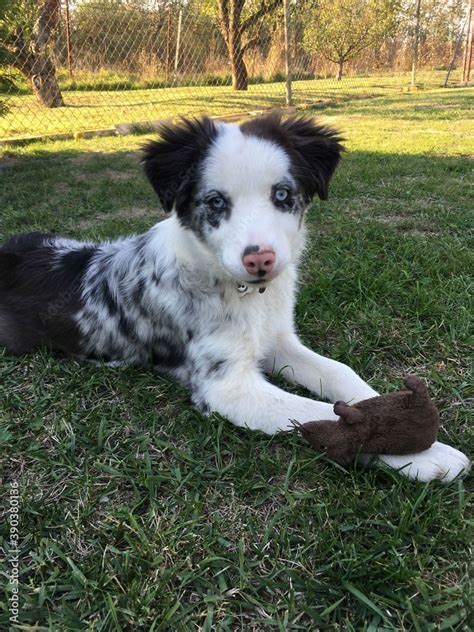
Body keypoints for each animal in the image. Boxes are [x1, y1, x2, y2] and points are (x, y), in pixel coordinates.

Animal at [0, 113, 468, 482]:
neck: (245, 293)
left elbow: (343, 377)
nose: (260, 259)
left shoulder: (277, 341)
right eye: (214, 201)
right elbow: (318, 414)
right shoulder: (227, 387)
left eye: (282, 194)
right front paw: (428, 456)